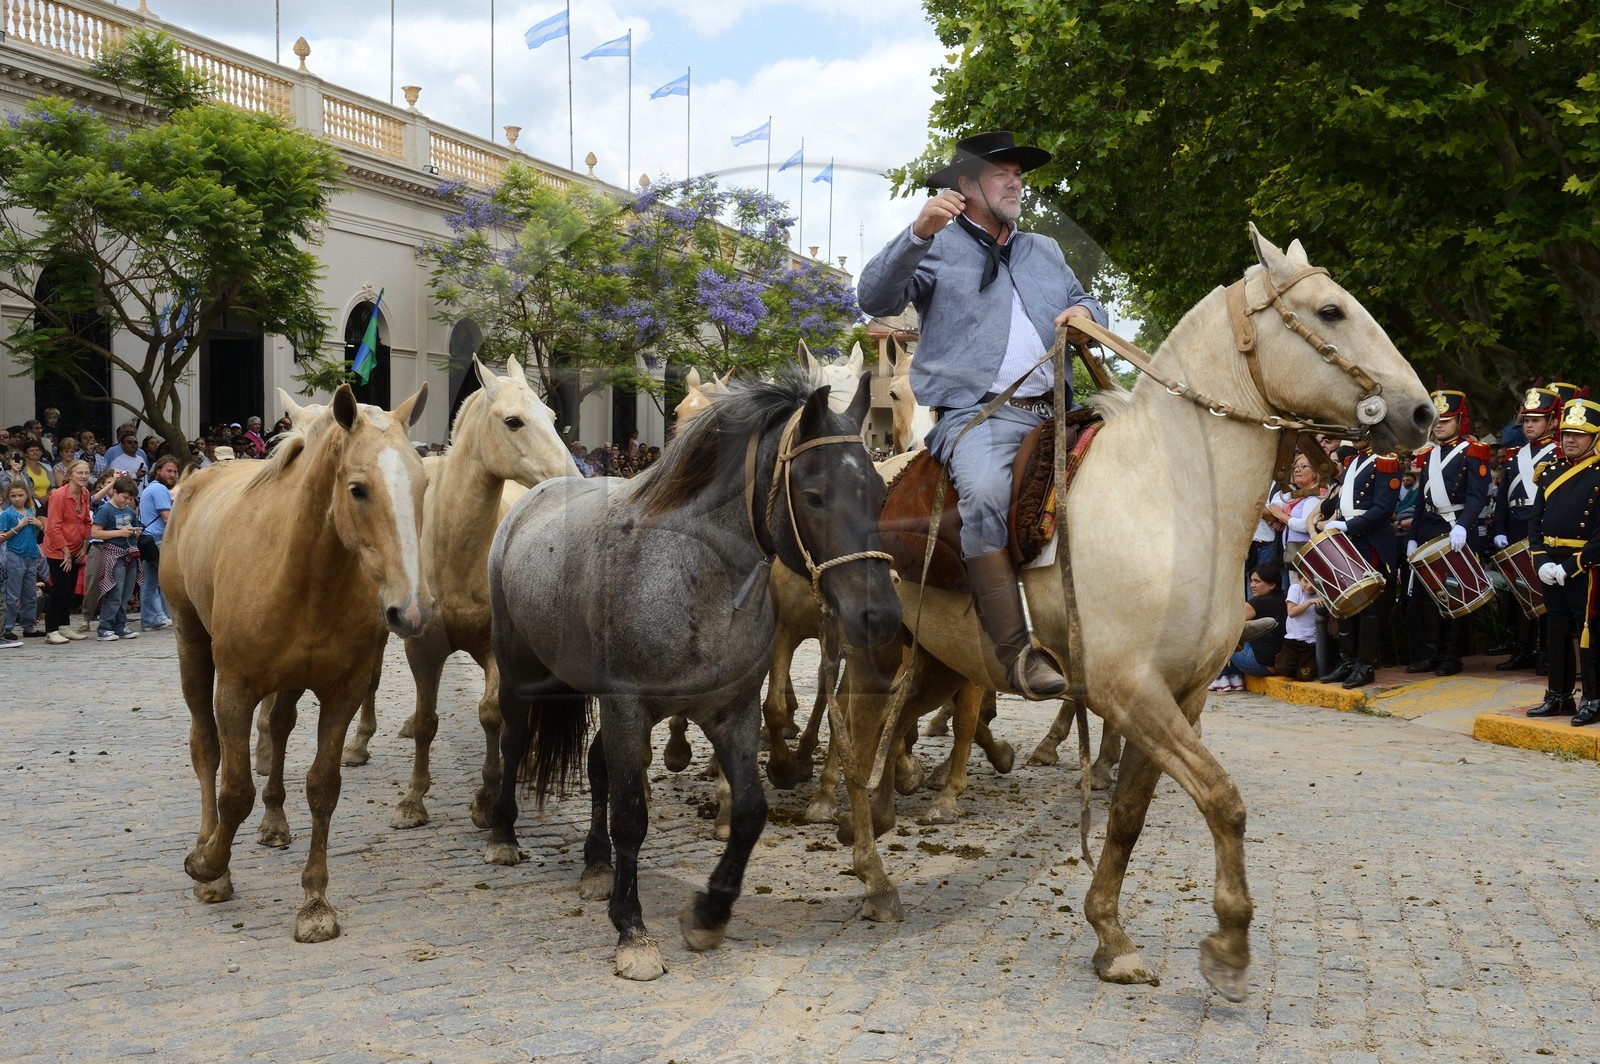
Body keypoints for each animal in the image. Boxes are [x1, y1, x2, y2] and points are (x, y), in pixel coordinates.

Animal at [164, 383, 432, 942]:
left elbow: (323, 787)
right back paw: (207, 845)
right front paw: (210, 867)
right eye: (358, 489)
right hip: (190, 641)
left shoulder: (342, 692)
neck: (305, 574)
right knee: (205, 748)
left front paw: (314, 902)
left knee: (281, 727)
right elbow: (234, 790)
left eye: (422, 485)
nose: (411, 610)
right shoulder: (236, 689)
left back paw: (275, 822)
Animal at [485, 369, 901, 980]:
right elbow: (632, 818)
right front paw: (633, 932)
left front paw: (710, 912)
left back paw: (596, 866)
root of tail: (532, 498)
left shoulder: (731, 712)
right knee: (515, 741)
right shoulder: (628, 707)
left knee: (597, 767)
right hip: (520, 672)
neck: (694, 577)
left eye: (878, 492)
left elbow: (749, 811)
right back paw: (503, 835)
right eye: (814, 495)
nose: (882, 616)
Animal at [834, 227, 1435, 1000]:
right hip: (873, 651)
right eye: (1330, 311)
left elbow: (1129, 814)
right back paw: (873, 877)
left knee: (900, 726)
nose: (1421, 412)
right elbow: (1222, 798)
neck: (1173, 495)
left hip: (938, 656)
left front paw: (1112, 936)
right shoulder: (1129, 689)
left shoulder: (1181, 694)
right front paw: (1229, 946)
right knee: (855, 746)